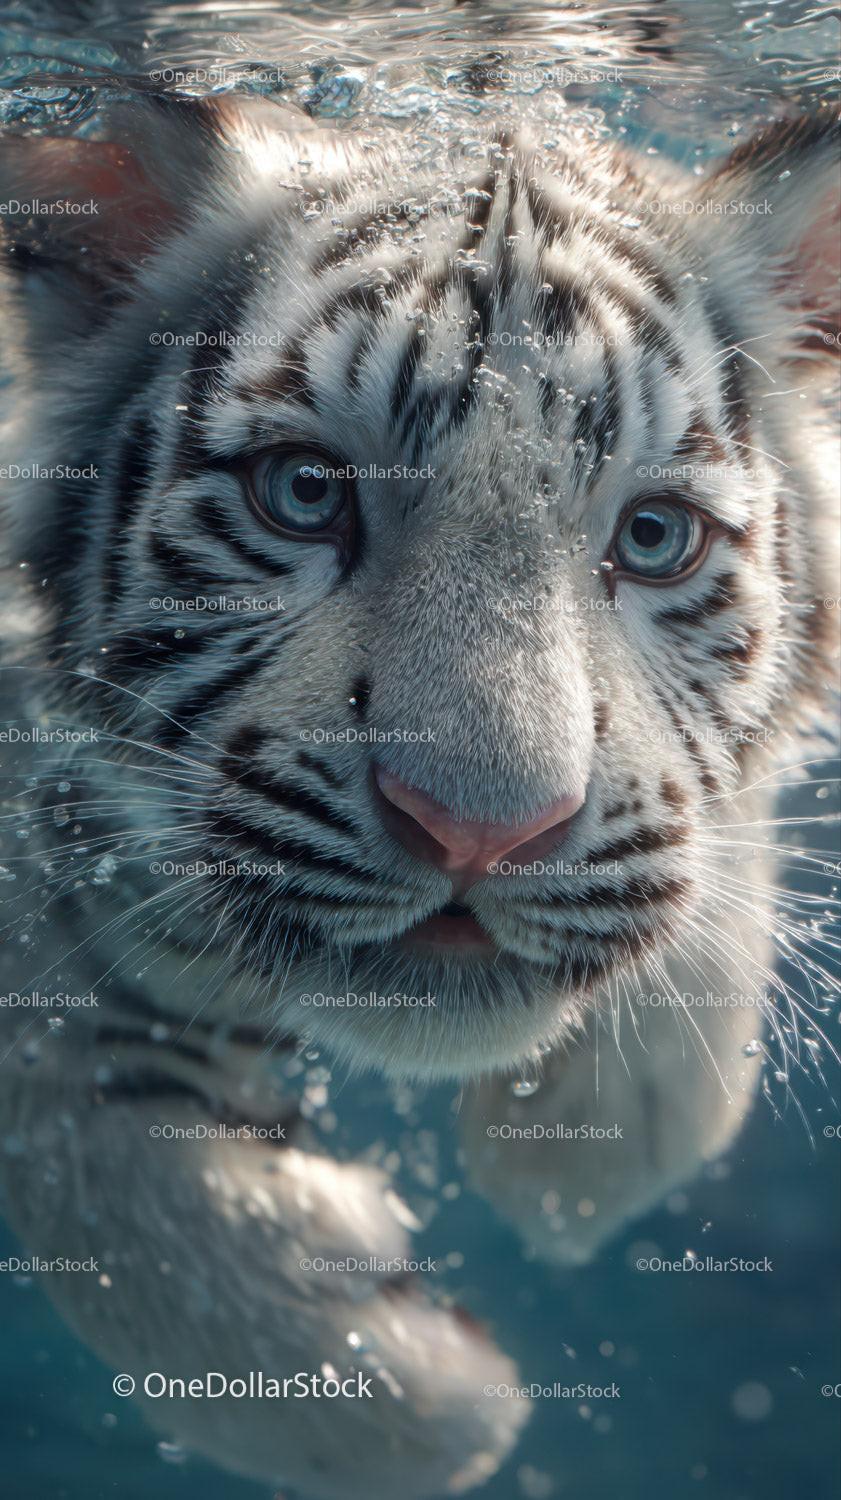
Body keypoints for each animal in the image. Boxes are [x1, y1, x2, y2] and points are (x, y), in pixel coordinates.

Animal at [0, 94, 838, 1498]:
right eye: (303, 493)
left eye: (653, 537)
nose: (481, 831)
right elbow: (86, 1158)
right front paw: (424, 1392)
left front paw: (604, 1142)